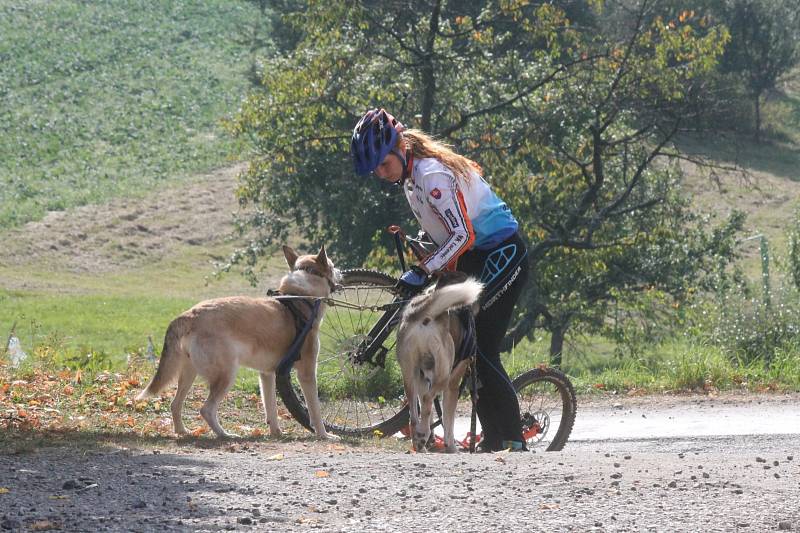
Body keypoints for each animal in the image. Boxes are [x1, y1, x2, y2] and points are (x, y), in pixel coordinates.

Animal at [138, 245, 338, 436]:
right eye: (332, 265)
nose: (341, 272)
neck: (301, 299)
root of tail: (189, 314)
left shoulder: (266, 374)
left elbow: (271, 408)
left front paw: (276, 433)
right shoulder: (307, 373)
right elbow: (315, 411)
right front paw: (324, 435)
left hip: (189, 373)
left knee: (175, 404)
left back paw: (182, 431)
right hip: (226, 374)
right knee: (206, 410)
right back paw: (225, 435)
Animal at [396, 272, 484, 450]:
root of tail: (423, 314)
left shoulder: (423, 379)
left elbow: (428, 411)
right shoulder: (453, 384)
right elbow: (447, 419)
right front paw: (451, 446)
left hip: (409, 374)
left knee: (414, 411)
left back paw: (419, 439)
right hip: (444, 375)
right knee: (427, 399)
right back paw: (423, 434)